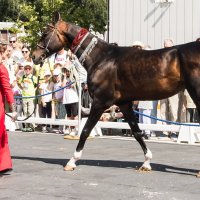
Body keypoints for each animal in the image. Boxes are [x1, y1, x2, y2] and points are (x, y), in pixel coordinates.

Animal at [32, 12, 200, 173]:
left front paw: (72, 161)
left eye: (45, 34)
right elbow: (136, 131)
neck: (101, 58)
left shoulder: (100, 102)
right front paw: (146, 162)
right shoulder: (124, 104)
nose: (34, 56)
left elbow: (85, 130)